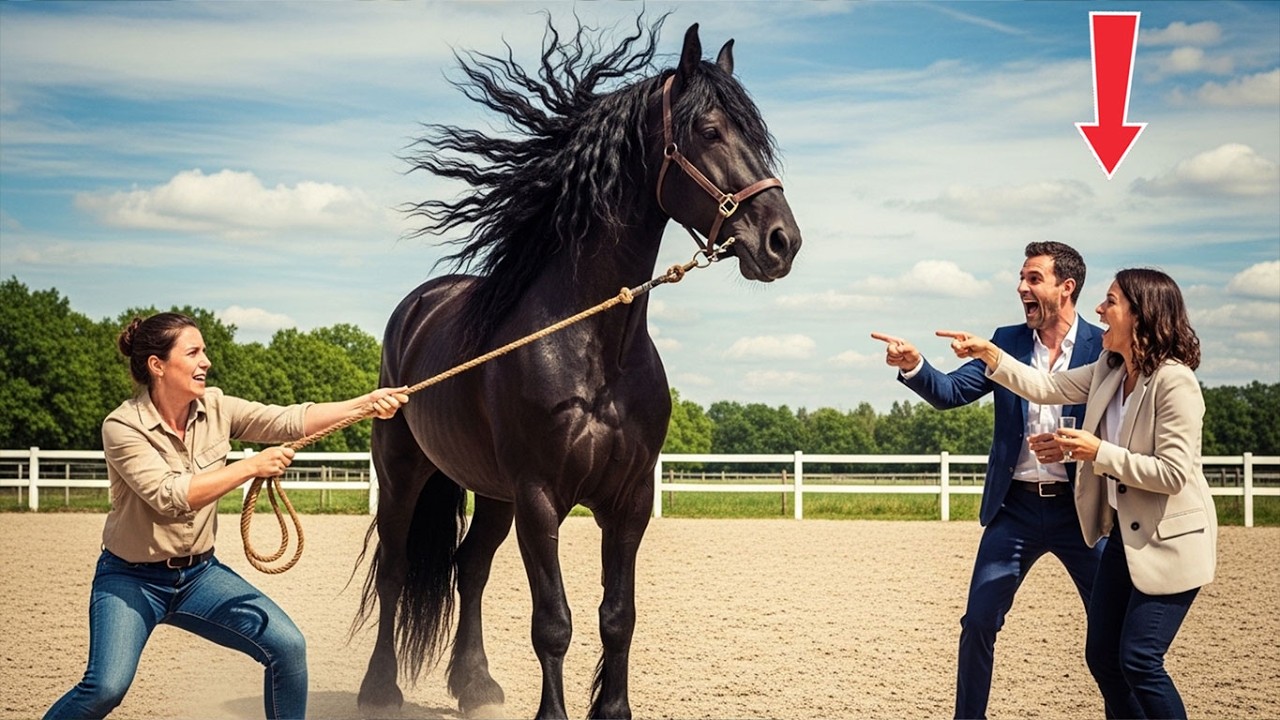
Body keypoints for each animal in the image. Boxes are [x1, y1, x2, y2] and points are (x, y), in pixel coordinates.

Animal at [354, 16, 802, 719]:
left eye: (758, 137)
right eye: (709, 131)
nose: (783, 242)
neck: (595, 351)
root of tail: (419, 308)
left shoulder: (629, 500)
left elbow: (617, 617)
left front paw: (612, 709)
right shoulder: (540, 500)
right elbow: (553, 623)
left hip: (492, 492)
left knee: (470, 567)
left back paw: (475, 686)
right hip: (404, 472)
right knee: (397, 570)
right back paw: (381, 689)